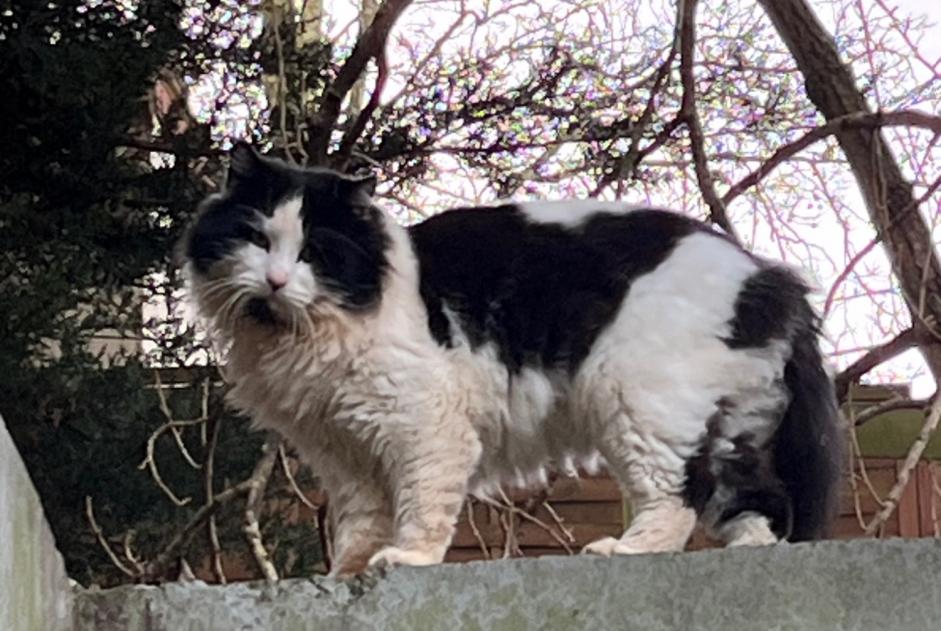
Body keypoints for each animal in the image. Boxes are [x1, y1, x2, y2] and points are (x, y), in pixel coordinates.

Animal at [184, 143, 844, 576]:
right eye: (257, 240)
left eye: (314, 253)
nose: (273, 280)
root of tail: (767, 274)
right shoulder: (344, 451)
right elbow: (361, 523)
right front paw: (346, 573)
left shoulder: (425, 428)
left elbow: (421, 505)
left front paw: (407, 559)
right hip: (720, 424)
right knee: (758, 504)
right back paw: (748, 554)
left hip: (639, 403)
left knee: (679, 499)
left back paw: (625, 551)